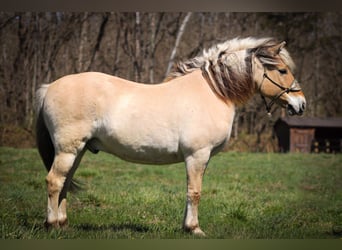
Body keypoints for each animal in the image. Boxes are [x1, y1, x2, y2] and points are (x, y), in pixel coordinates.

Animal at [36, 37, 306, 236]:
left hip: (78, 150)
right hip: (68, 150)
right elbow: (195, 191)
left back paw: (63, 224)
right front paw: (194, 229)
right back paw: (51, 225)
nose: (300, 104)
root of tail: (49, 88)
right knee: (54, 181)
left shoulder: (200, 158)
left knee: (65, 182)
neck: (213, 92)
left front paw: (186, 227)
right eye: (282, 70)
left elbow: (191, 190)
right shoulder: (197, 155)